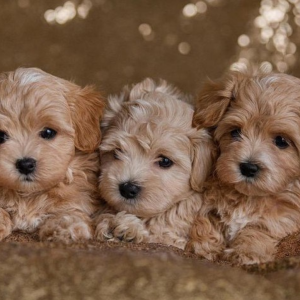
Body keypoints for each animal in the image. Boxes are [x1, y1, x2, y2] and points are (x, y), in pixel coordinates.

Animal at [0, 67, 105, 243]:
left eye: (48, 132)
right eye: (0, 136)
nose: (25, 165)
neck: (28, 195)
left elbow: (71, 211)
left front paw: (65, 227)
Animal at [94, 78, 216, 248]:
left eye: (165, 161)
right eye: (117, 152)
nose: (128, 188)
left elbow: (161, 234)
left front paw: (127, 228)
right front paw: (110, 223)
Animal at [188, 68, 300, 264]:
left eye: (281, 141)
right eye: (235, 132)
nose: (248, 168)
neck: (248, 198)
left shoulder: (285, 217)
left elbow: (260, 229)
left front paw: (247, 253)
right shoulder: (207, 204)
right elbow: (204, 221)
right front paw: (205, 248)